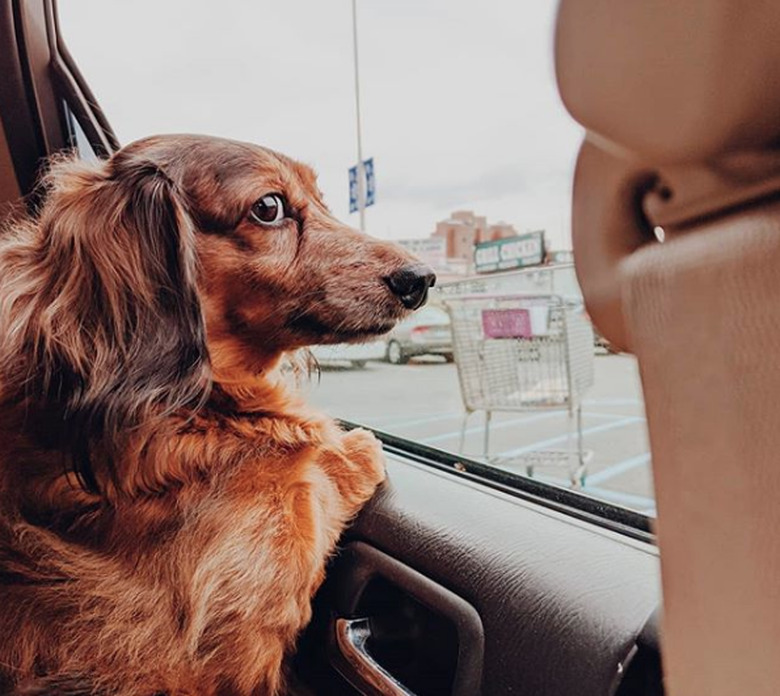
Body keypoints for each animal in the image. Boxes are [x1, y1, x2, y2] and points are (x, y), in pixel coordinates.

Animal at [0, 133, 436, 692]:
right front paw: (351, 449)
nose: (421, 279)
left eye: (322, 198)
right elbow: (321, 482)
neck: (200, 408)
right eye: (269, 207)